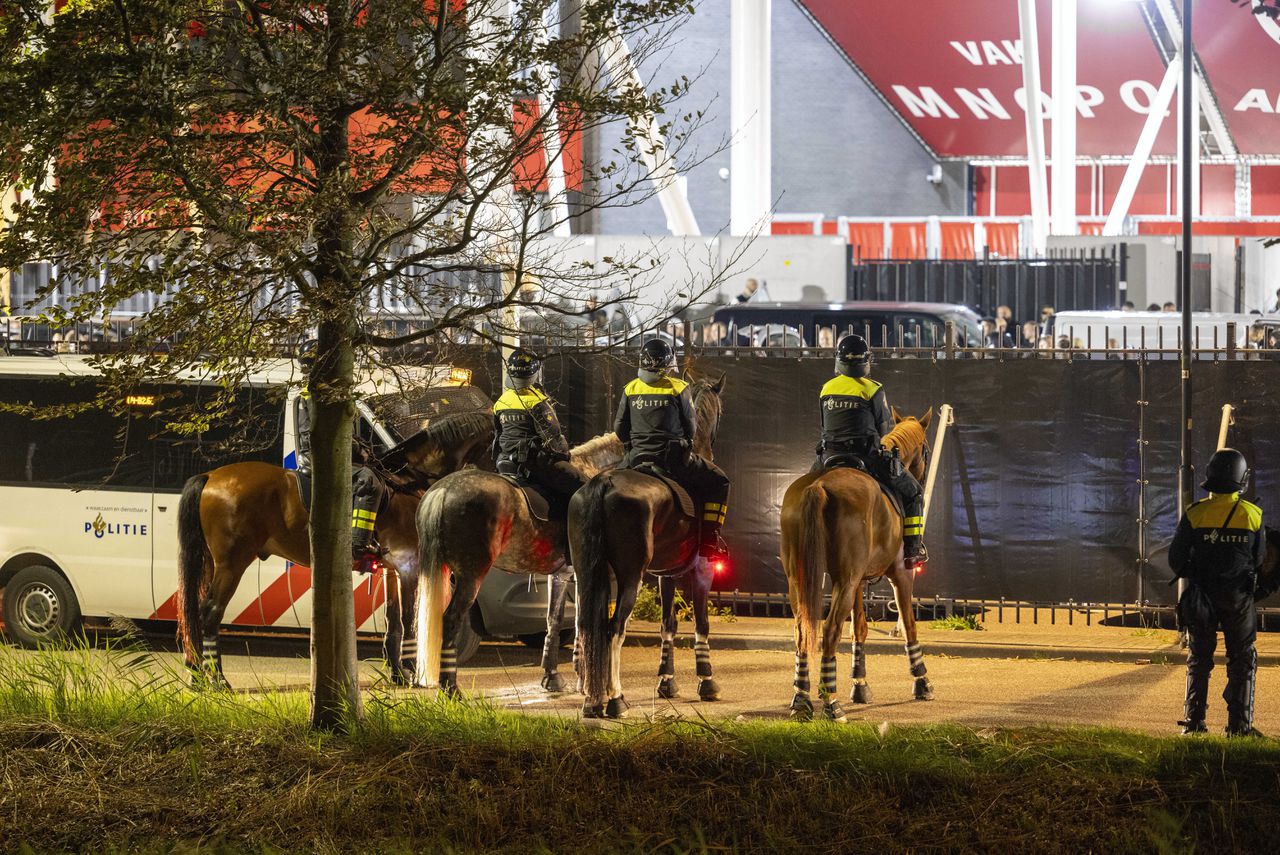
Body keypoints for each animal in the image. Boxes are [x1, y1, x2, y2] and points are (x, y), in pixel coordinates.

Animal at [177, 409, 496, 686]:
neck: (409, 481)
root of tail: (211, 476)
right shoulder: (409, 566)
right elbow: (409, 618)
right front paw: (409, 673)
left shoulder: (392, 569)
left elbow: (393, 620)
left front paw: (396, 674)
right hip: (232, 563)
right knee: (211, 612)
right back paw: (218, 680)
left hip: (212, 563)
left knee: (196, 612)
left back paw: (198, 676)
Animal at [414, 435, 624, 696]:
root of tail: (442, 490)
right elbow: (581, 621)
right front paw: (581, 678)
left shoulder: (560, 575)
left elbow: (554, 621)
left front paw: (552, 676)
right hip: (471, 575)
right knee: (451, 620)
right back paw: (451, 688)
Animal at [573, 376, 727, 716]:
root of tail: (603, 482)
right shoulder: (702, 568)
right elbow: (702, 624)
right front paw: (707, 681)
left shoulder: (665, 574)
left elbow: (668, 624)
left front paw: (666, 681)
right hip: (630, 576)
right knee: (614, 628)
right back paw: (615, 698)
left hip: (588, 573)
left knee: (589, 625)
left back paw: (592, 697)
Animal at [778, 407, 931, 721]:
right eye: (925, 448)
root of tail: (818, 486)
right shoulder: (901, 574)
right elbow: (909, 624)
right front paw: (921, 681)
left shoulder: (859, 581)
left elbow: (859, 628)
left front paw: (860, 685)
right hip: (845, 581)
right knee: (828, 630)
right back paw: (831, 703)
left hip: (800, 579)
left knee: (802, 630)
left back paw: (801, 699)